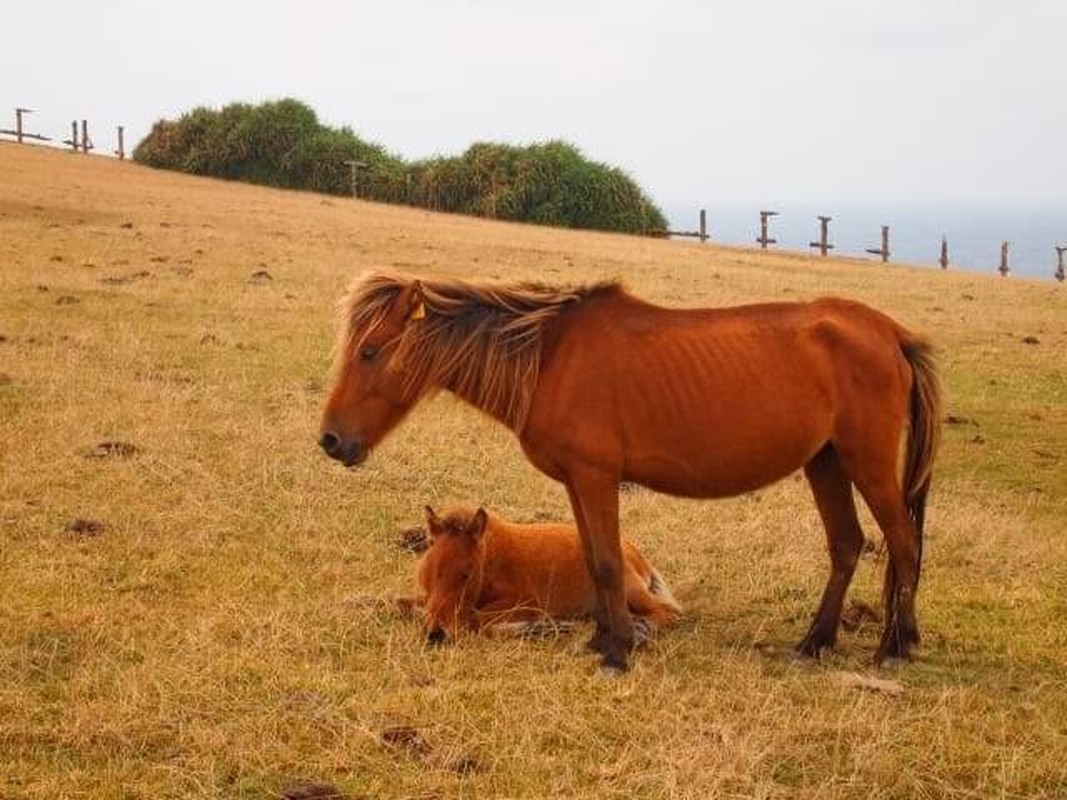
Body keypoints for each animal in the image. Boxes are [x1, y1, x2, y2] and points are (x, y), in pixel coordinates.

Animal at [403, 507, 678, 644]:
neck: (491, 557)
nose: (436, 634)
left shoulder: (526, 603)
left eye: (467, 574)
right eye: (429, 570)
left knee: (667, 613)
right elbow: (402, 603)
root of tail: (635, 553)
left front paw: (544, 627)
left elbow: (477, 620)